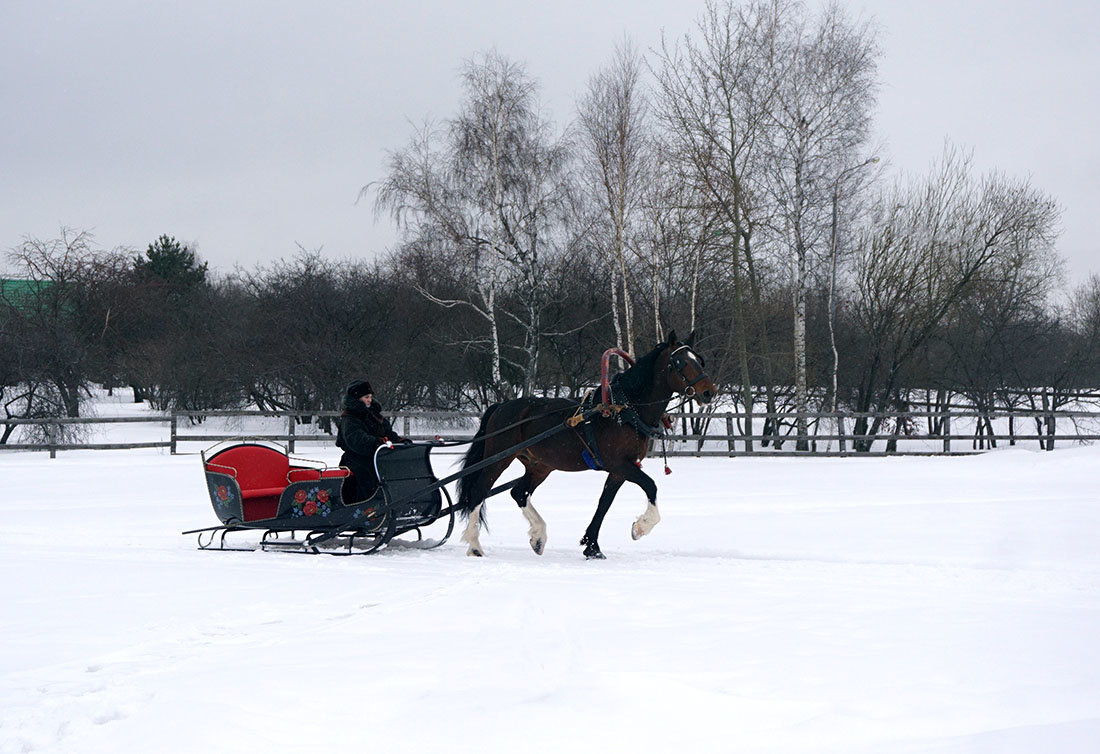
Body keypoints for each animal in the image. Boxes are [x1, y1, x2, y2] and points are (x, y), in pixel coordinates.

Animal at [453, 330, 717, 559]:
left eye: (700, 361)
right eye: (680, 363)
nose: (709, 393)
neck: (626, 409)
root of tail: (501, 406)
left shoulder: (620, 469)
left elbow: (604, 503)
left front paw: (592, 546)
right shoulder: (620, 464)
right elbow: (650, 486)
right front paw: (640, 528)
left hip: (540, 465)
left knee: (519, 492)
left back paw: (538, 537)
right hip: (499, 457)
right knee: (478, 493)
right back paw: (474, 545)